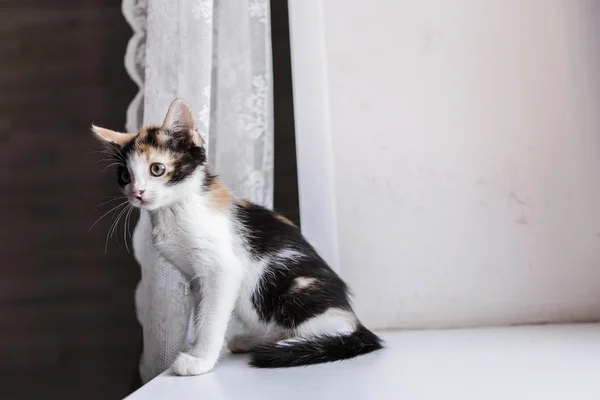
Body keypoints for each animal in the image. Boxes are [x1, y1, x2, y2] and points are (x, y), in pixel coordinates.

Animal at [91, 99, 382, 376]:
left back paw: (297, 345)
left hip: (289, 289)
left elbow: (211, 319)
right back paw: (255, 340)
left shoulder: (223, 269)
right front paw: (199, 351)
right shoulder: (197, 278)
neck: (177, 208)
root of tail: (352, 315)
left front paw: (200, 361)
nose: (137, 193)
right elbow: (204, 313)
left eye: (157, 169)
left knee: (334, 327)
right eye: (125, 176)